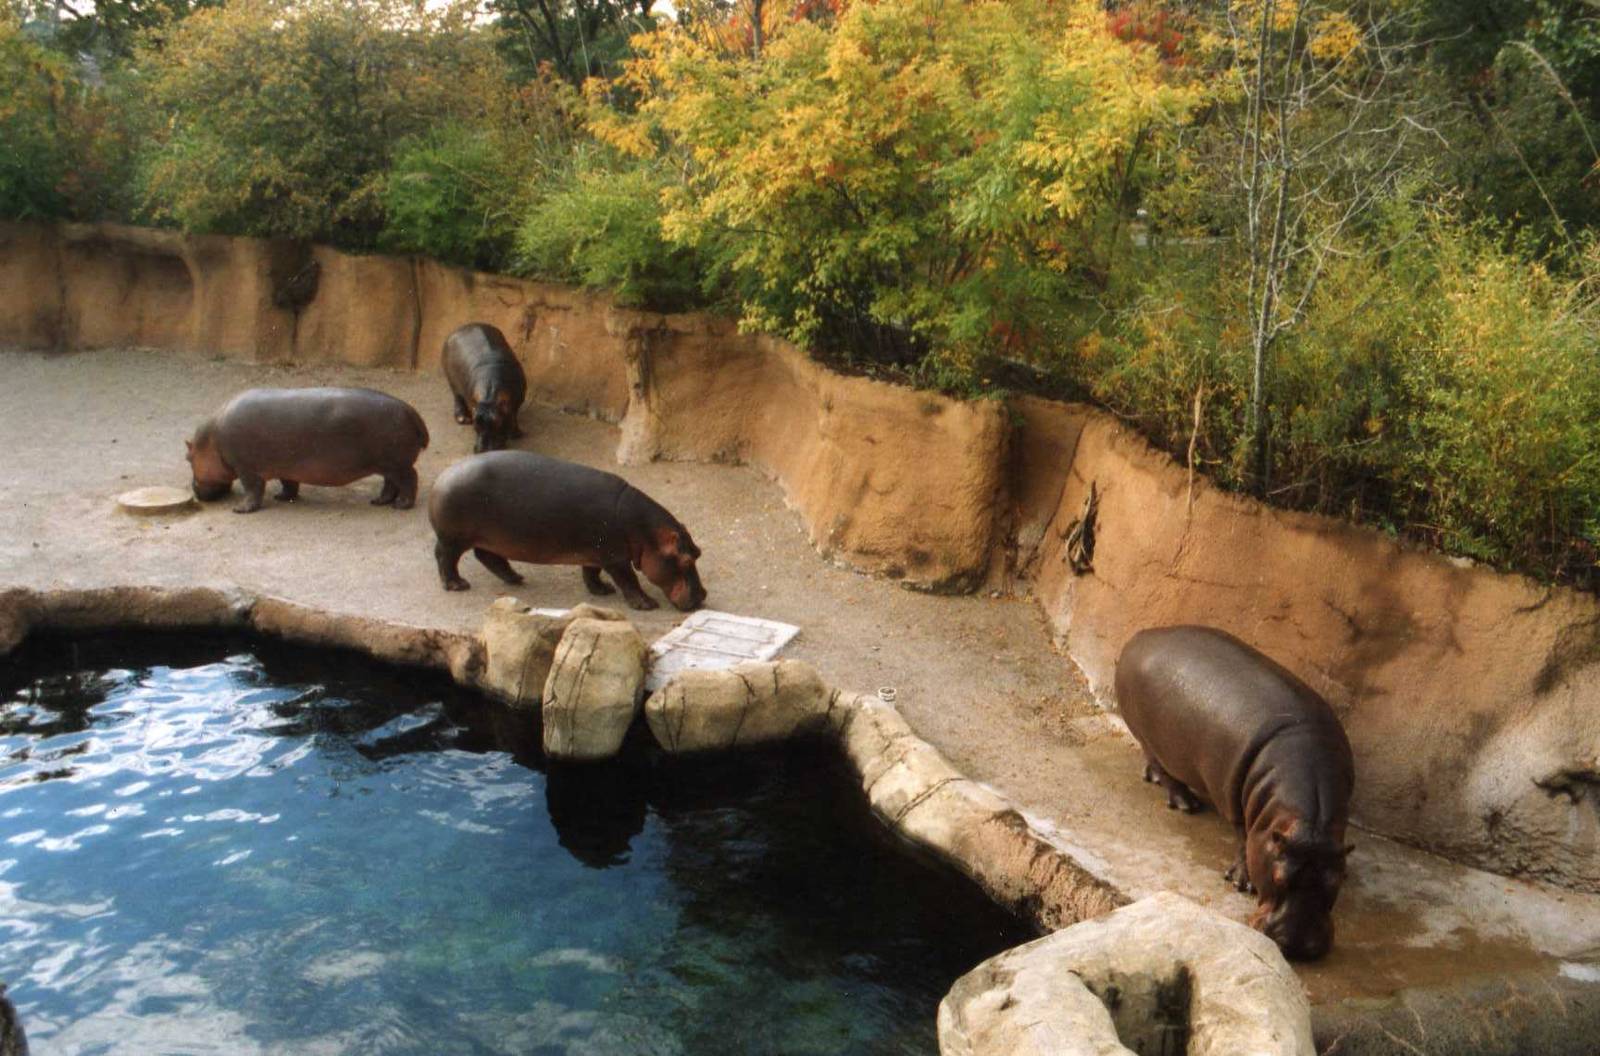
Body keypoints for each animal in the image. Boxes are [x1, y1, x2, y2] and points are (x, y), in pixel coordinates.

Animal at [186, 387, 430, 514]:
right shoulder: (285, 465)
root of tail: (411, 411)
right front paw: (282, 497)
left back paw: (402, 506)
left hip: (397, 464)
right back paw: (379, 502)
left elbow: (253, 490)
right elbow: (289, 483)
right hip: (388, 464)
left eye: (188, 458)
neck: (211, 439)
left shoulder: (247, 469)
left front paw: (240, 509)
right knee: (390, 484)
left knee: (410, 479)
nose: (194, 489)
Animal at [428, 451, 707, 611]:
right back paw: (457, 585)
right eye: (685, 560)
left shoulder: (596, 551)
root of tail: (441, 477)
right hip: (454, 539)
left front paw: (602, 590)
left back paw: (516, 578)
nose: (703, 595)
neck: (645, 532)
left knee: (487, 556)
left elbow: (591, 572)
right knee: (445, 557)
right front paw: (647, 604)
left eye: (698, 553)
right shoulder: (615, 557)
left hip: (490, 538)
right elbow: (629, 580)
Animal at [442, 323, 527, 453]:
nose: (482, 450)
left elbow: (513, 415)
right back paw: (462, 419)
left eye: (497, 422)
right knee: (457, 397)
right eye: (475, 424)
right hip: (452, 381)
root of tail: (461, 328)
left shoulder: (516, 402)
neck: (489, 400)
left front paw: (517, 434)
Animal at [1115, 625, 1355, 961]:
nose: (1296, 947)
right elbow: (1244, 840)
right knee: (1161, 765)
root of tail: (1140, 636)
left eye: (1335, 881)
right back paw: (1185, 803)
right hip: (1147, 735)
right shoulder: (1239, 810)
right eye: (1278, 879)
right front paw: (1242, 882)